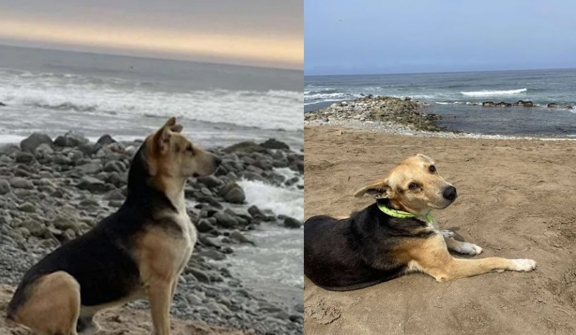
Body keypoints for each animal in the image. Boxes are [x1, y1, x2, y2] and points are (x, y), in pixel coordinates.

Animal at [6, 118, 220, 335]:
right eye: (188, 149)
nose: (219, 161)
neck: (158, 203)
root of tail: (11, 309)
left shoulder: (172, 281)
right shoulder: (161, 284)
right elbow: (163, 327)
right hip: (65, 279)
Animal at [304, 155, 536, 292]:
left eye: (432, 168)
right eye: (413, 186)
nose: (451, 192)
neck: (401, 214)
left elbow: (442, 237)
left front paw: (466, 245)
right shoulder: (448, 267)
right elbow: (491, 260)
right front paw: (522, 263)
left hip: (341, 215)